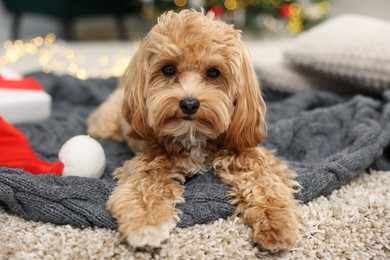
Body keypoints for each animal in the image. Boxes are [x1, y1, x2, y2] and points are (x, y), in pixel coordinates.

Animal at [87, 9, 302, 251]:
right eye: (168, 69)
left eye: (213, 73)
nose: (189, 104)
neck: (194, 137)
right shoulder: (149, 164)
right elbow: (143, 191)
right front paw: (146, 227)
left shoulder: (247, 156)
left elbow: (266, 186)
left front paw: (278, 223)